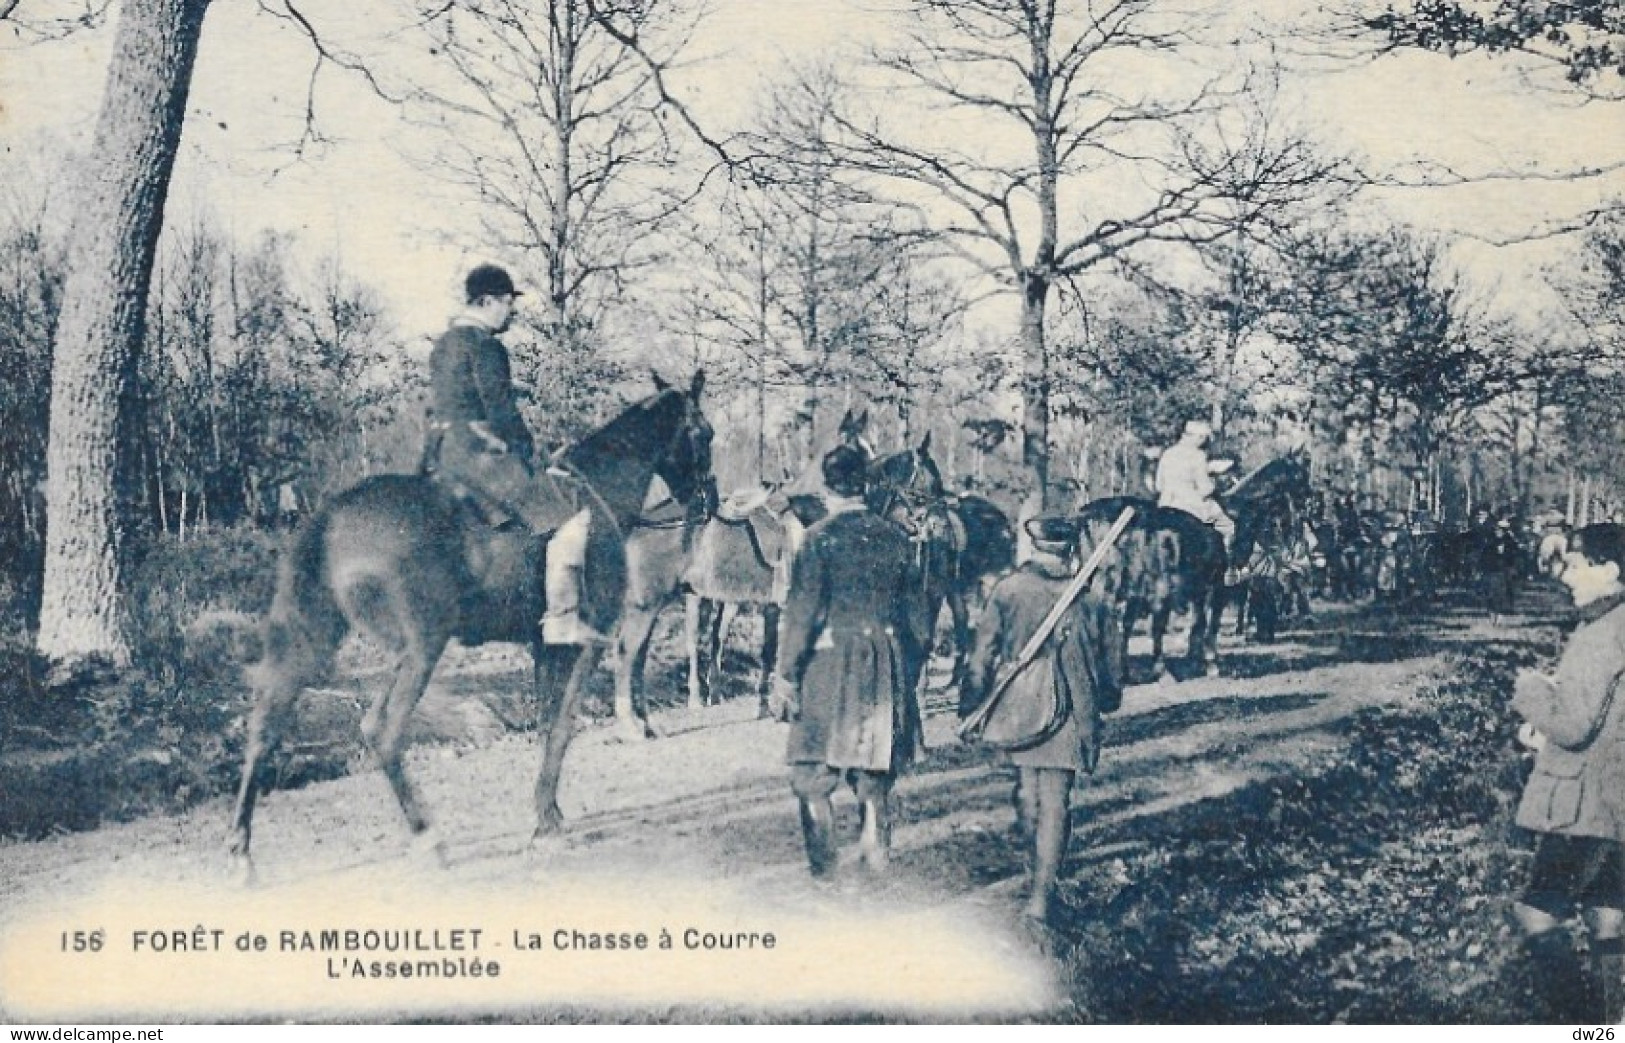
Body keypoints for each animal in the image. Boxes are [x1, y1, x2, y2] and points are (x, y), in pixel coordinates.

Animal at [224, 370, 711, 870]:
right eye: (705, 433)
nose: (704, 501)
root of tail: (333, 515)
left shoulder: (543, 647)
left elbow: (545, 725)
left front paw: (549, 813)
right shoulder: (584, 646)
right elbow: (562, 727)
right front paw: (545, 823)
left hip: (316, 643)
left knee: (265, 729)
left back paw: (242, 852)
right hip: (420, 649)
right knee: (383, 729)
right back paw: (427, 836)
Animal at [864, 432, 1014, 685]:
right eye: (931, 482)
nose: (941, 527)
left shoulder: (931, 593)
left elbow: (922, 639)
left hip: (988, 581)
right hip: (955, 588)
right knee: (962, 621)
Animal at [1079, 448, 1319, 679]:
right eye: (1301, 474)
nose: (1311, 505)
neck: (1239, 513)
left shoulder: (1198, 589)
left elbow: (1197, 623)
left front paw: (1193, 657)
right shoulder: (1218, 587)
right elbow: (1210, 624)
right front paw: (1210, 662)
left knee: (1127, 624)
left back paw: (1126, 671)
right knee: (1142, 624)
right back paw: (1153, 668)